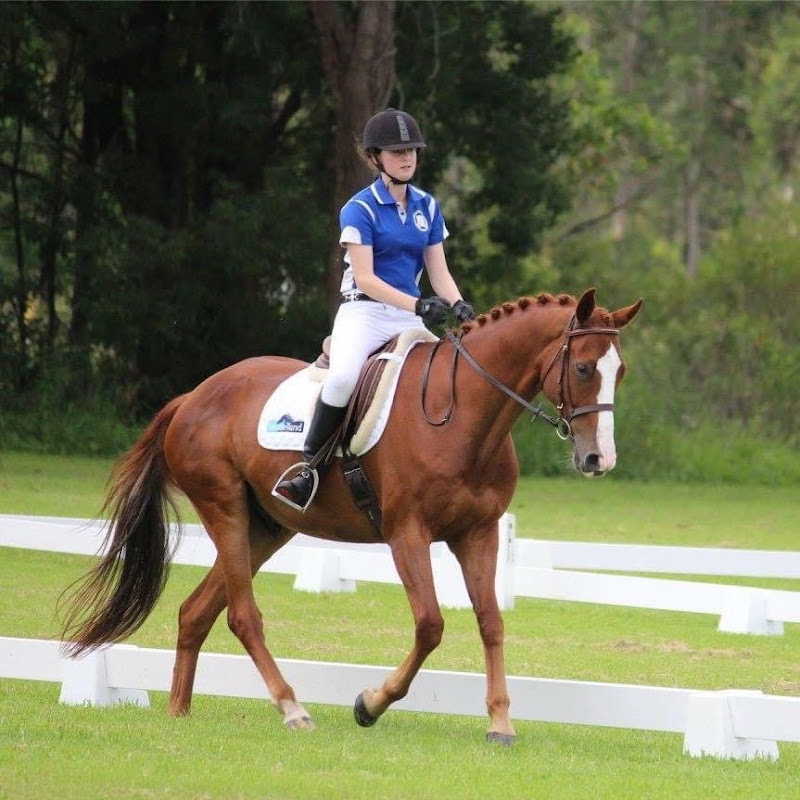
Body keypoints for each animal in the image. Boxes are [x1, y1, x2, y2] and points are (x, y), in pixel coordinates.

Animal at [61, 288, 642, 744]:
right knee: (242, 616)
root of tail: (192, 396)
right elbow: (430, 625)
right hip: (224, 509)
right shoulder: (407, 534)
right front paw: (370, 703)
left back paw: (179, 713)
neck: (464, 417)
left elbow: (491, 622)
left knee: (195, 611)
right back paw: (292, 709)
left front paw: (500, 724)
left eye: (620, 373)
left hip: (266, 529)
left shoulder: (478, 534)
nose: (600, 459)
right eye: (583, 368)